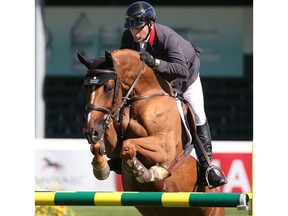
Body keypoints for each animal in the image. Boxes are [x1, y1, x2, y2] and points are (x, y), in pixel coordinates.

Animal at [78, 49, 225, 216]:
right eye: (85, 88)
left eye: (108, 88)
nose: (91, 132)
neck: (143, 96)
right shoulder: (114, 145)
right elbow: (103, 147)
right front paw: (101, 167)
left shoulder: (165, 149)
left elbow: (128, 145)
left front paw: (149, 172)